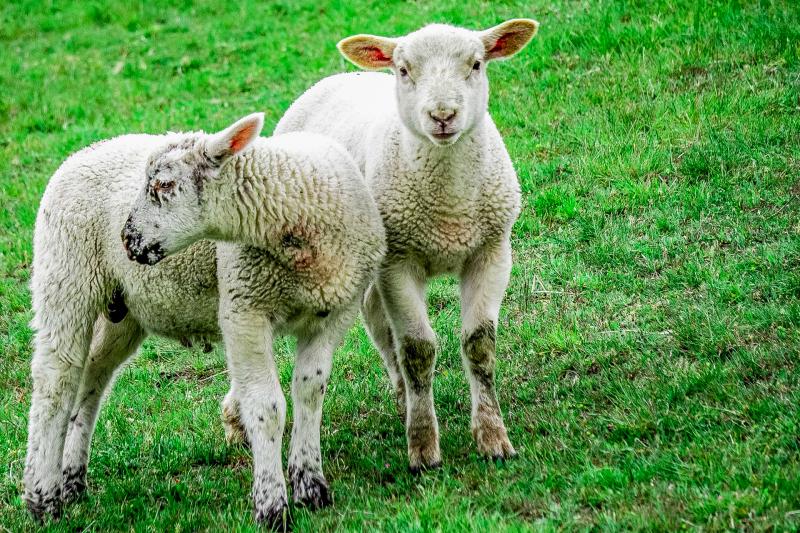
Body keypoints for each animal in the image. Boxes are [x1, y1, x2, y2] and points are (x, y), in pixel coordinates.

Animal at [24, 113, 386, 528]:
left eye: (164, 184)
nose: (127, 239)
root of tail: (81, 153)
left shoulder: (334, 313)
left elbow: (310, 393)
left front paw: (311, 485)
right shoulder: (243, 308)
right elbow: (266, 407)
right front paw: (272, 505)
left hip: (124, 310)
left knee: (92, 380)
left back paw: (72, 481)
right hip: (66, 274)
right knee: (56, 381)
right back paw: (43, 498)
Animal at [274, 19, 539, 472]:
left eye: (476, 64)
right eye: (403, 69)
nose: (443, 115)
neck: (450, 209)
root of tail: (339, 77)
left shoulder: (491, 251)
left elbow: (479, 345)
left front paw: (492, 438)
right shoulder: (398, 263)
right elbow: (417, 349)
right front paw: (423, 447)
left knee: (377, 320)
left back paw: (403, 400)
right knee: (384, 332)